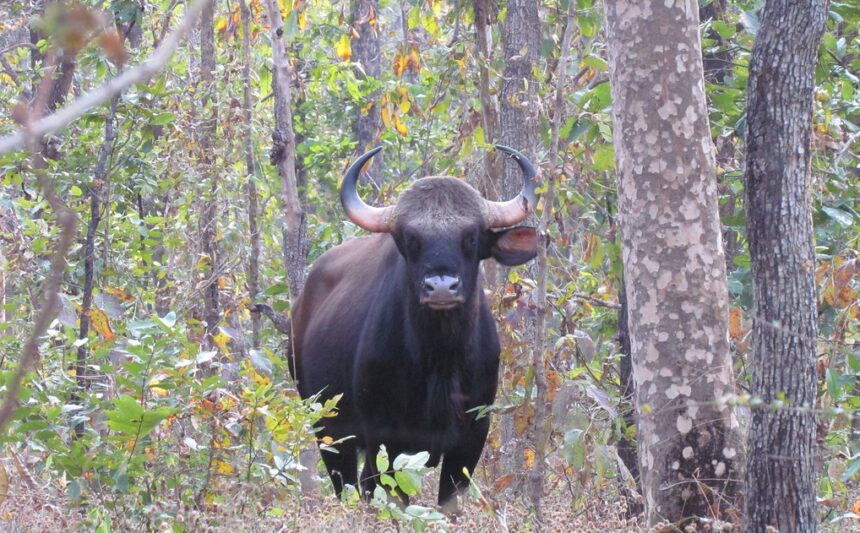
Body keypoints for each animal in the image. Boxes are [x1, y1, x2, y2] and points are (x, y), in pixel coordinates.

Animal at [290, 145, 539, 507]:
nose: (441, 287)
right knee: (348, 486)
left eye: (471, 237)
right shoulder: (385, 437)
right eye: (411, 238)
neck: (439, 360)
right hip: (329, 429)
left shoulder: (472, 436)